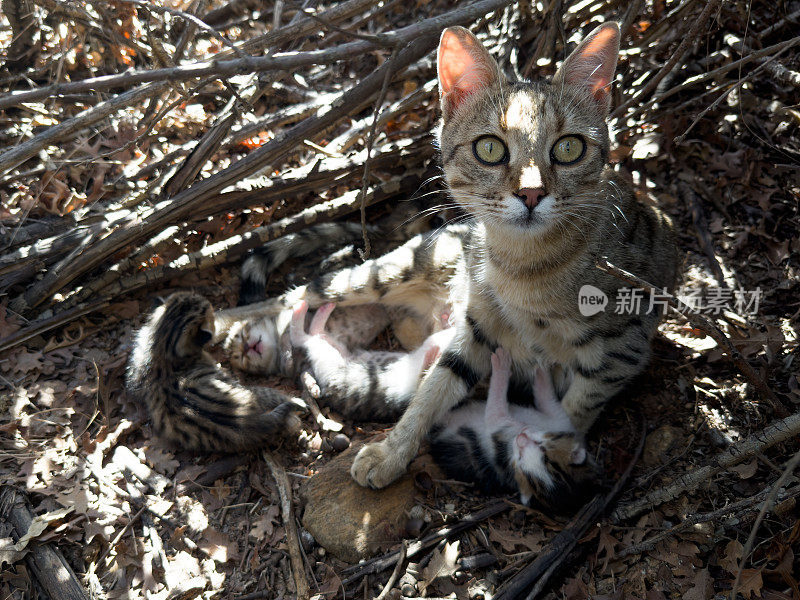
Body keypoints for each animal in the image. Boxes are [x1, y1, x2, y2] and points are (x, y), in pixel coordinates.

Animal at [126, 292, 304, 452]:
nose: (213, 306)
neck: (161, 349)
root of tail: (246, 421)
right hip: (254, 392)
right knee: (277, 398)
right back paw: (297, 405)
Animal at [216, 23, 680, 492]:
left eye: (569, 148)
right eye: (490, 149)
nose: (531, 194)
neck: (523, 269)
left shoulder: (622, 350)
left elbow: (574, 407)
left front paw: (556, 448)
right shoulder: (478, 326)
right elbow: (433, 390)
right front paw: (392, 451)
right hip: (389, 271)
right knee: (296, 295)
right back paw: (224, 321)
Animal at [428, 346, 596, 510]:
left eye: (520, 462)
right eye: (543, 449)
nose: (521, 438)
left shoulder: (499, 427)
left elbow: (496, 407)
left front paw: (501, 364)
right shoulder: (562, 421)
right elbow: (548, 400)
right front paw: (541, 370)